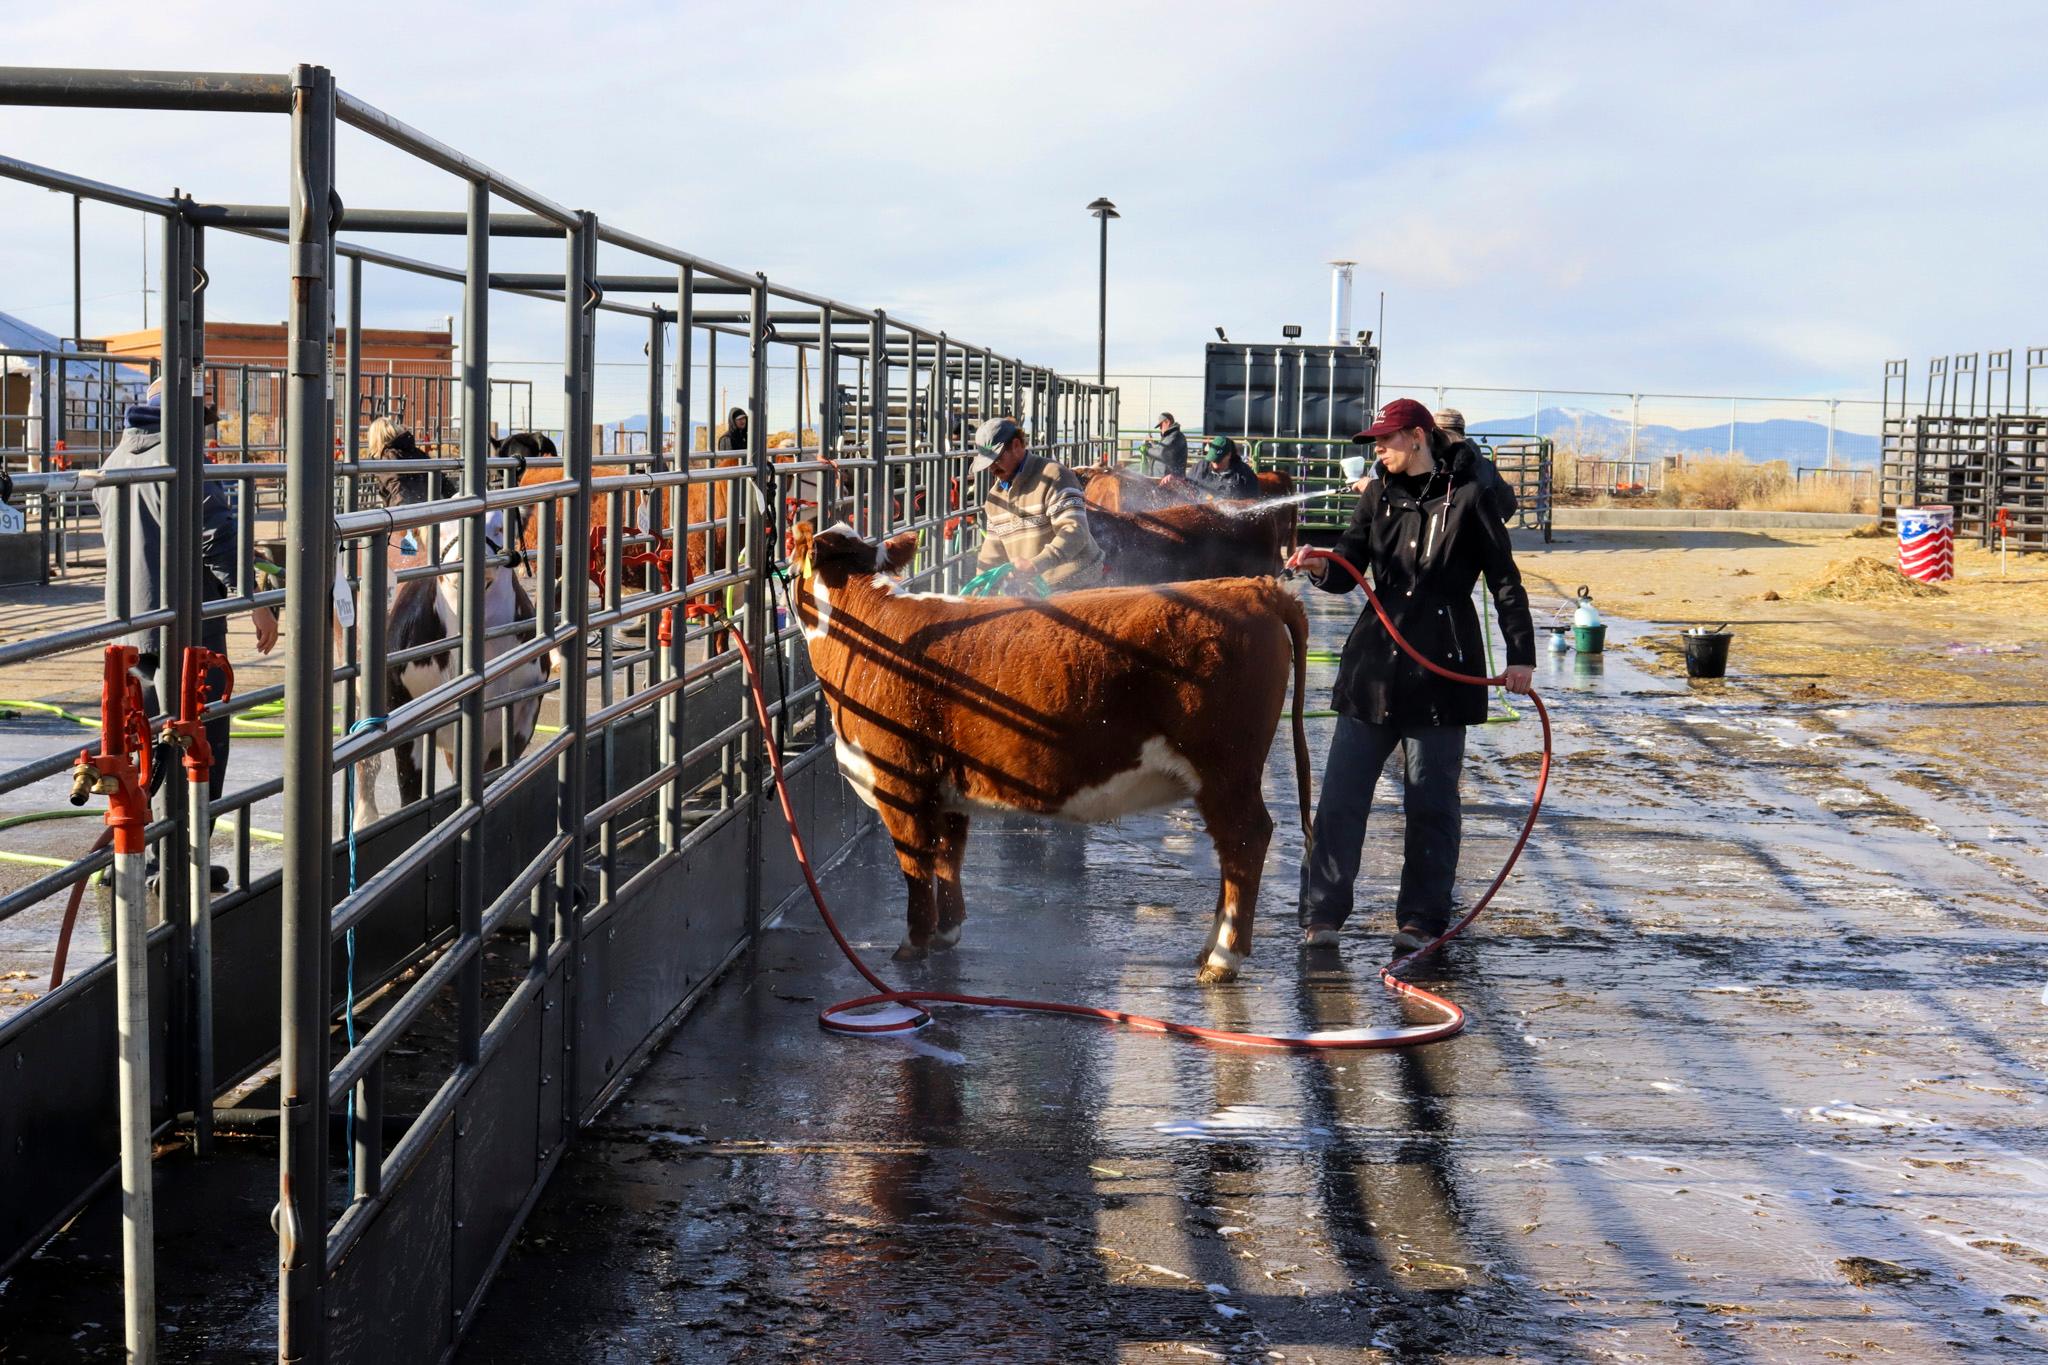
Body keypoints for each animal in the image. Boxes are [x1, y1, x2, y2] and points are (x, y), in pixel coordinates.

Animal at [782, 519, 1310, 982]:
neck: (869, 629)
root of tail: (1251, 588)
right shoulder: (946, 788)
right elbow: (949, 858)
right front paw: (947, 934)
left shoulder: (900, 783)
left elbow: (915, 864)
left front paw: (913, 944)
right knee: (1231, 850)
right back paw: (1209, 946)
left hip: (1226, 767)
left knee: (1245, 842)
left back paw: (1223, 959)